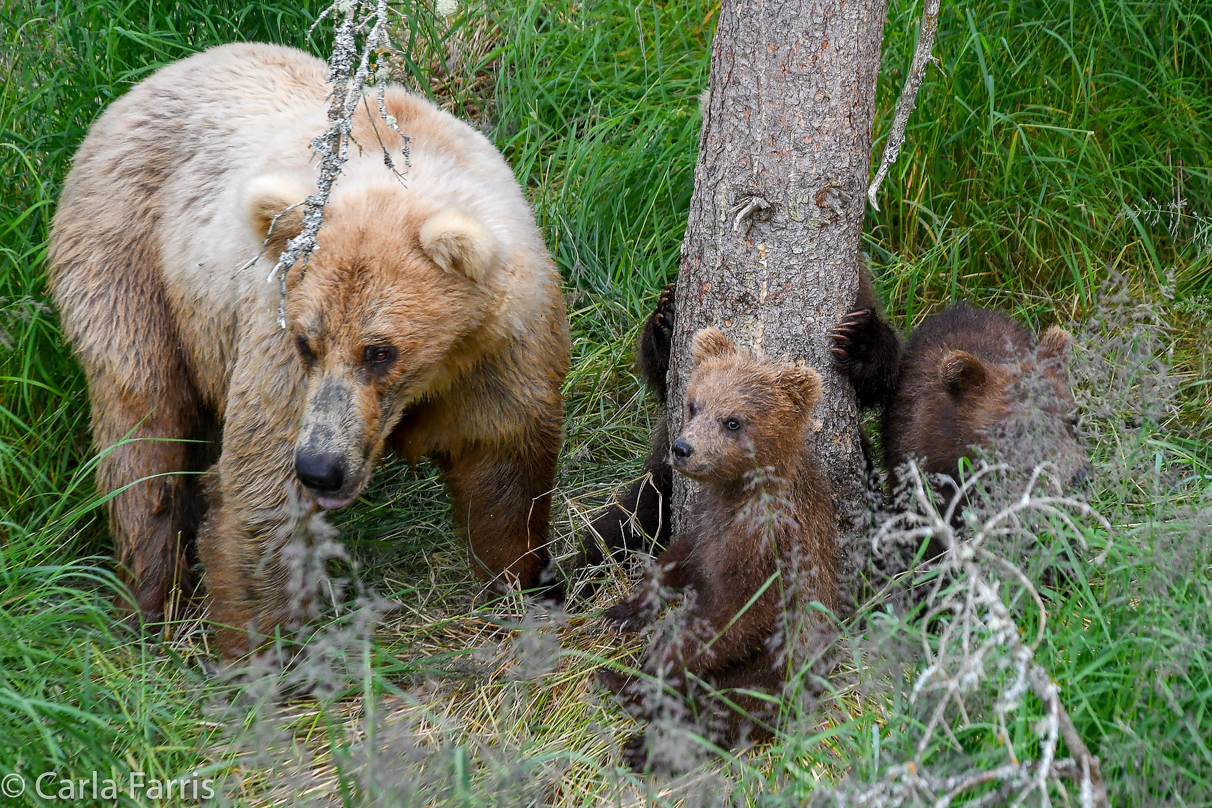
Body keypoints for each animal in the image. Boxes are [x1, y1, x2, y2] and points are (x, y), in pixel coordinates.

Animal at [49, 41, 569, 658]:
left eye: (380, 350)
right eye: (307, 342)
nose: (320, 467)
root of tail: (147, 82)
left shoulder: (497, 352)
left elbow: (503, 467)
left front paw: (522, 584)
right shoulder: (276, 342)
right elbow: (261, 488)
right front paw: (259, 651)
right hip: (130, 259)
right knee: (142, 430)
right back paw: (152, 602)